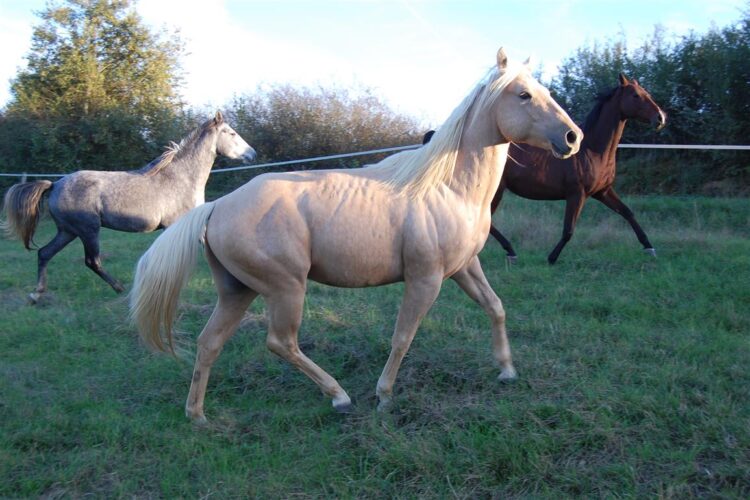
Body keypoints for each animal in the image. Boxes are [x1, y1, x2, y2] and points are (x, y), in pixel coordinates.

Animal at [1, 111, 258, 302]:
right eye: (231, 133)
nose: (252, 153)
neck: (180, 177)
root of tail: (54, 184)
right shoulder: (176, 224)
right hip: (88, 230)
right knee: (92, 261)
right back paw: (120, 288)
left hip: (68, 231)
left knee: (45, 253)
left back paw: (36, 294)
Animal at [132, 49, 584, 422]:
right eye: (523, 95)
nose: (573, 137)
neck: (447, 187)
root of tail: (216, 207)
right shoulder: (426, 279)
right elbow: (403, 336)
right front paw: (384, 396)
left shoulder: (464, 268)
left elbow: (496, 307)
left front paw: (507, 370)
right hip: (285, 288)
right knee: (281, 342)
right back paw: (339, 396)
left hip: (237, 290)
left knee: (210, 343)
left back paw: (198, 417)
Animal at [490, 74, 668, 264]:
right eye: (635, 95)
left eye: (647, 93)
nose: (660, 118)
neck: (592, 150)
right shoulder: (577, 194)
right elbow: (568, 230)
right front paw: (552, 258)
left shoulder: (603, 191)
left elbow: (628, 213)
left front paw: (649, 247)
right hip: (497, 190)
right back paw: (510, 251)